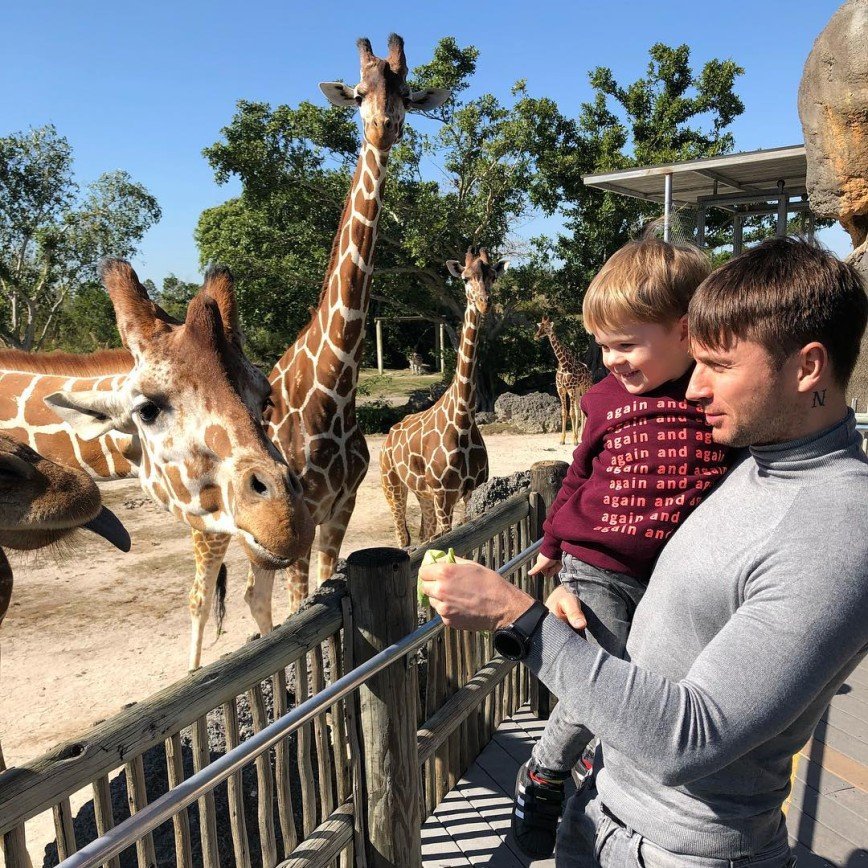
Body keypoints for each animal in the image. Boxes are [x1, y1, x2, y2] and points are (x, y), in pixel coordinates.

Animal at [380, 246, 508, 544]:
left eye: (493, 276)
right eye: (465, 278)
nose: (484, 303)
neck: (462, 418)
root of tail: (388, 436)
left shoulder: (471, 490)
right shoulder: (443, 494)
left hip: (422, 493)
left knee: (424, 535)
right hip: (392, 484)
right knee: (404, 538)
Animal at [532, 316, 592, 444]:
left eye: (547, 328)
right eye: (539, 327)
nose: (536, 336)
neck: (564, 365)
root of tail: (589, 371)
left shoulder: (570, 389)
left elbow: (572, 413)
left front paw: (574, 440)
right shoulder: (561, 389)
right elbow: (564, 413)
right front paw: (562, 439)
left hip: (584, 387)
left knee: (581, 411)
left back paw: (581, 437)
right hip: (578, 390)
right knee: (579, 409)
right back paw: (579, 435)